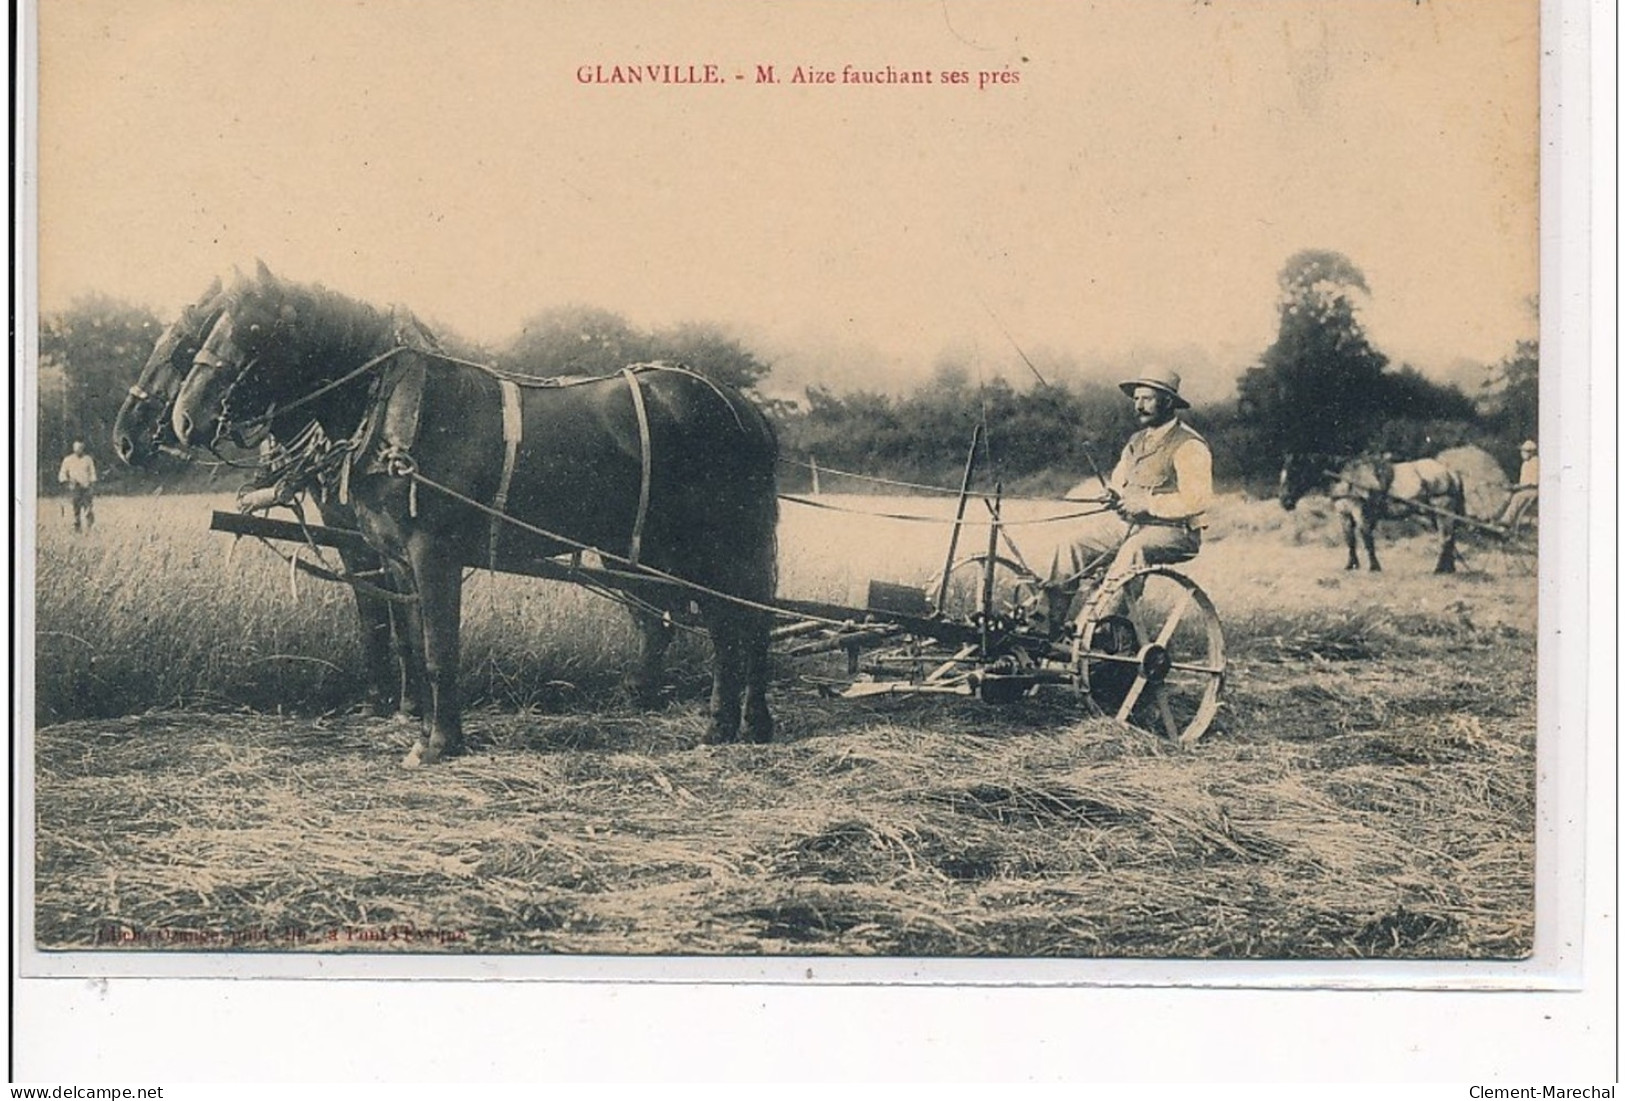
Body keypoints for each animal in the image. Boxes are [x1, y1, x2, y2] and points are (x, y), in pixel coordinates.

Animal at [117, 280, 429, 721]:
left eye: (180, 349)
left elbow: (392, 608)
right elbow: (376, 606)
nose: (124, 440)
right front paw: (381, 698)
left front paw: (404, 700)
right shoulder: (352, 529)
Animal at [171, 267, 780, 766]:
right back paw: (737, 723)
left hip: (721, 542)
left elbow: (441, 648)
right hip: (664, 548)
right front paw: (423, 730)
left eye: (249, 330)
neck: (402, 416)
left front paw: (440, 744)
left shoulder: (433, 551)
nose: (184, 419)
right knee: (724, 624)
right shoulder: (397, 558)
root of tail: (744, 409)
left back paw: (729, 725)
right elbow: (415, 643)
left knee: (740, 623)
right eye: (208, 330)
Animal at [1274, 454, 1469, 578]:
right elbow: (1350, 539)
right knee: (1449, 538)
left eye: (1293, 474)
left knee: (1445, 538)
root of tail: (1450, 472)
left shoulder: (1360, 511)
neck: (1344, 477)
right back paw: (1449, 568)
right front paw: (1351, 565)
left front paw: (1374, 567)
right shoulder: (1344, 513)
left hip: (1442, 509)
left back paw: (1439, 569)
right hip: (1437, 514)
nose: (1284, 502)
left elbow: (1366, 538)